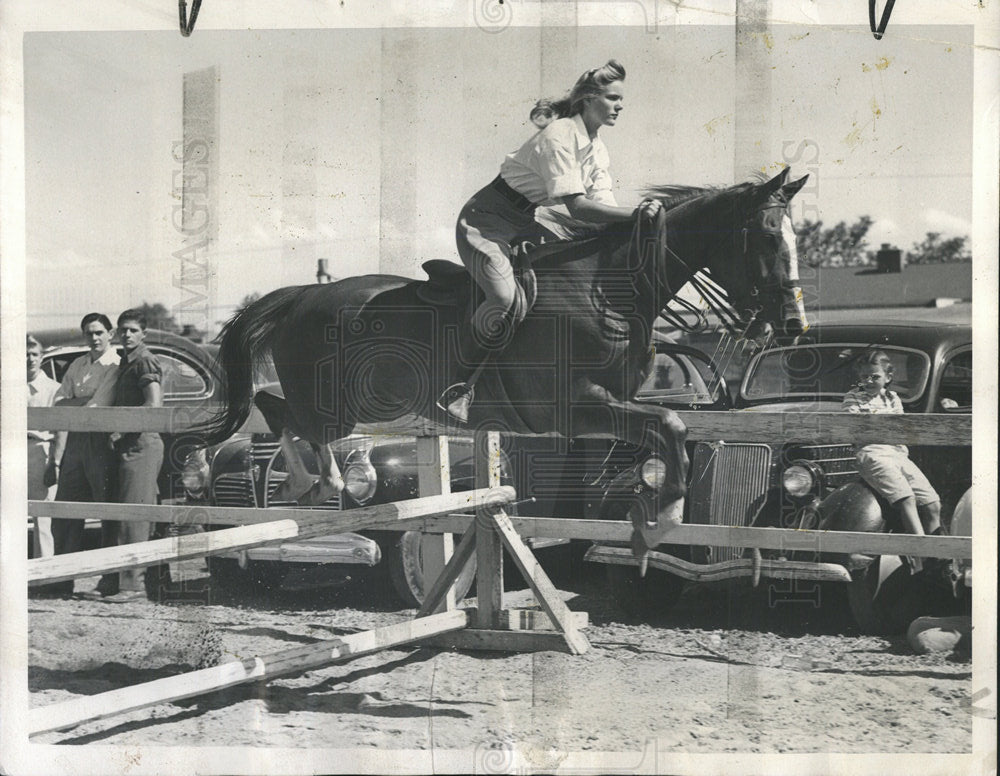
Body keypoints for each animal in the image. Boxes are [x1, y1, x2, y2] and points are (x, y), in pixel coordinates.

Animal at [203, 171, 812, 556]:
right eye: (765, 236)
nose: (794, 325)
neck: (608, 290)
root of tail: (301, 295)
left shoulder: (616, 403)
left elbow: (671, 425)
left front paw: (660, 517)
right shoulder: (573, 408)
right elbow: (670, 424)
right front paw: (664, 522)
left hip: (363, 402)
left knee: (275, 407)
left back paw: (307, 482)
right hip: (341, 404)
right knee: (285, 415)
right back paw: (316, 480)